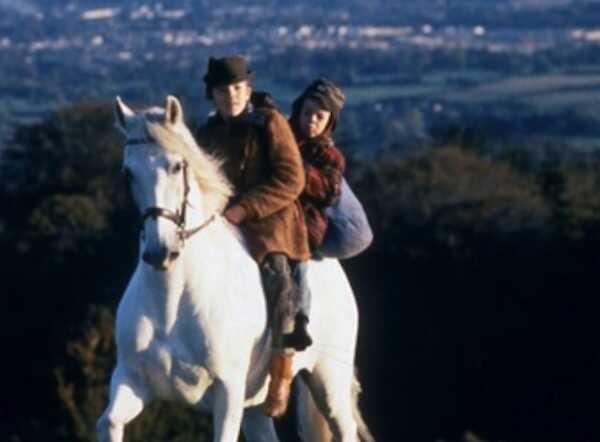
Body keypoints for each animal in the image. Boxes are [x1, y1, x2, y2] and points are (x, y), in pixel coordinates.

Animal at [98, 96, 376, 442]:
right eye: (128, 173)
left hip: (329, 380)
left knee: (344, 426)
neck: (171, 302)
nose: (160, 252)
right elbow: (109, 422)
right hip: (257, 404)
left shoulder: (228, 391)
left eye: (176, 166)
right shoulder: (131, 381)